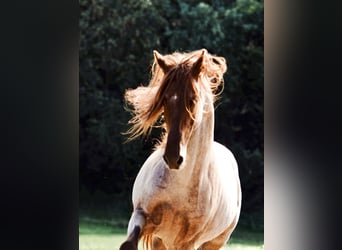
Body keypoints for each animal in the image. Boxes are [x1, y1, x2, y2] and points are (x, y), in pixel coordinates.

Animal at [119, 49, 242, 250]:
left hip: (213, 243)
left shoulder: (187, 241)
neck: (180, 185)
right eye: (165, 99)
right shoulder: (141, 215)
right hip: (160, 240)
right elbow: (128, 244)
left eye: (193, 100)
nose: (172, 157)